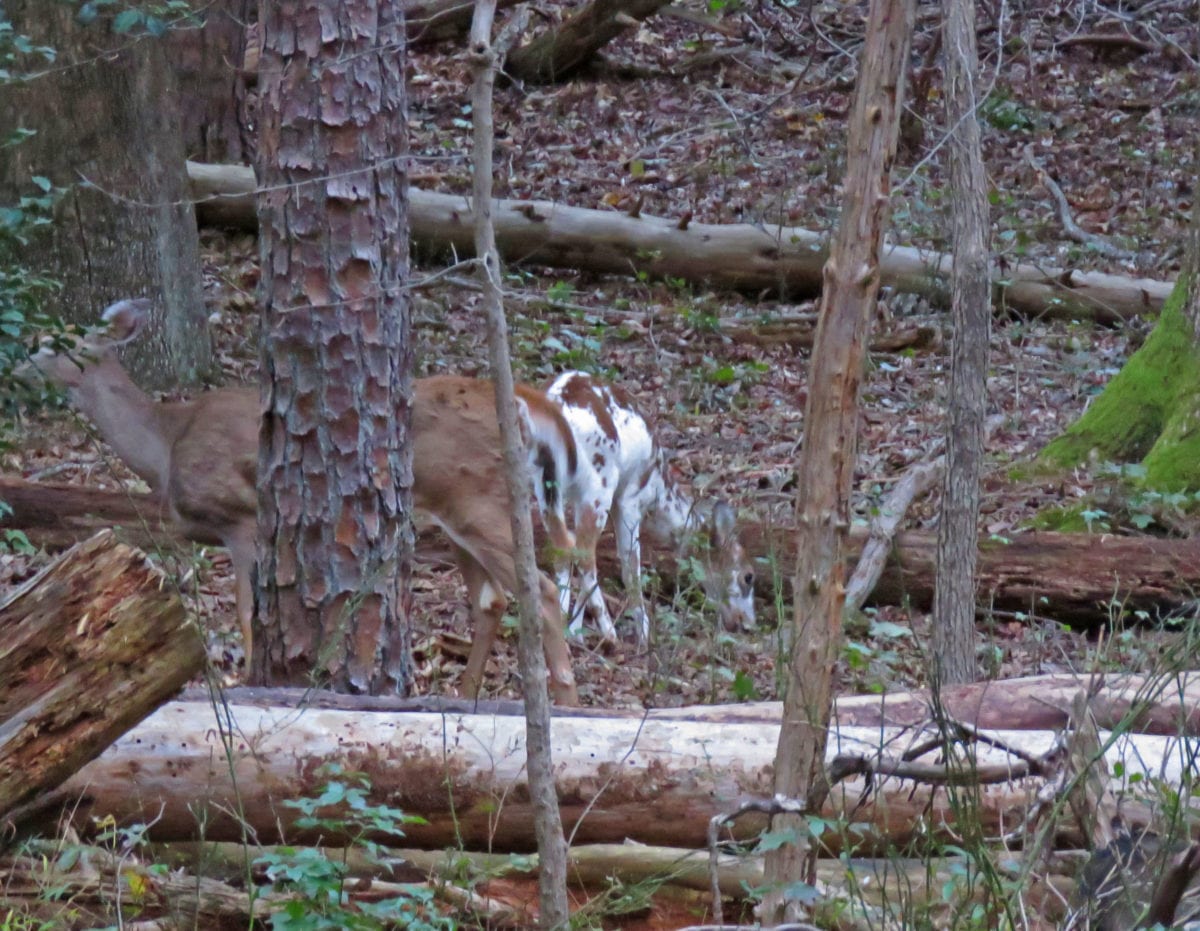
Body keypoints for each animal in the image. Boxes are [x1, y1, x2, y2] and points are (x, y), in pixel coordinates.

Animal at [17, 302, 580, 700]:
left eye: (54, 345)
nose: (19, 363)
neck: (166, 444)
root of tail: (527, 410)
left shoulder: (240, 517)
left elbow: (247, 611)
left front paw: (248, 682)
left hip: (480, 502)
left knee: (542, 589)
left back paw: (566, 699)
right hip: (459, 514)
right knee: (493, 600)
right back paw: (468, 699)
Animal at [540, 367, 753, 643]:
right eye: (748, 576)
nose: (746, 624)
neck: (660, 493)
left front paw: (575, 630)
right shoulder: (631, 498)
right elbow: (630, 569)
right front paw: (643, 635)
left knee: (563, 547)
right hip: (601, 481)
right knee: (585, 553)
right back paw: (609, 632)